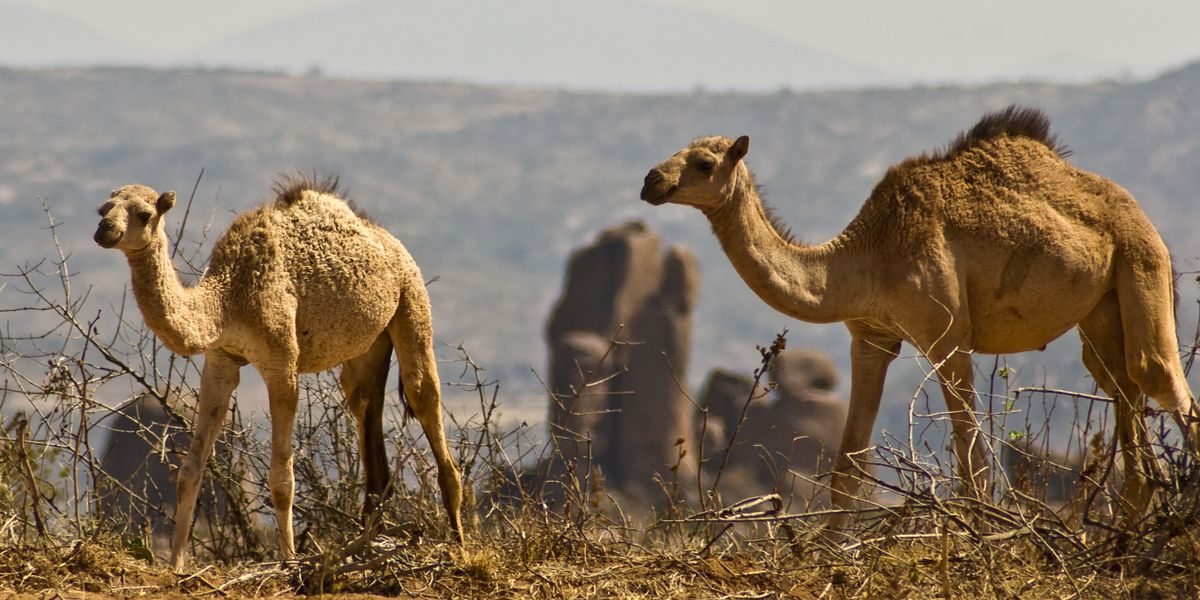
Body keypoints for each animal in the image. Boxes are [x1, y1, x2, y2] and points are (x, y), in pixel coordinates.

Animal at [94, 176, 463, 566]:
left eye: (144, 214)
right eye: (103, 209)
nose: (105, 230)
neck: (228, 298)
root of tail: (389, 242)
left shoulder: (281, 360)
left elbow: (282, 479)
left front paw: (289, 559)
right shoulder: (221, 359)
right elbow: (190, 470)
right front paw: (177, 564)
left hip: (412, 300)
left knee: (424, 395)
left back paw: (459, 546)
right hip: (369, 346)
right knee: (364, 402)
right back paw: (366, 545)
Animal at [643, 105, 1195, 528]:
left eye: (703, 163)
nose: (651, 180)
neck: (866, 254)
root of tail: (1142, 217)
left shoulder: (947, 335)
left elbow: (973, 465)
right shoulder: (870, 338)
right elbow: (848, 466)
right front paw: (826, 557)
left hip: (1140, 260)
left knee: (1158, 376)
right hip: (1101, 309)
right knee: (1123, 395)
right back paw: (1121, 547)